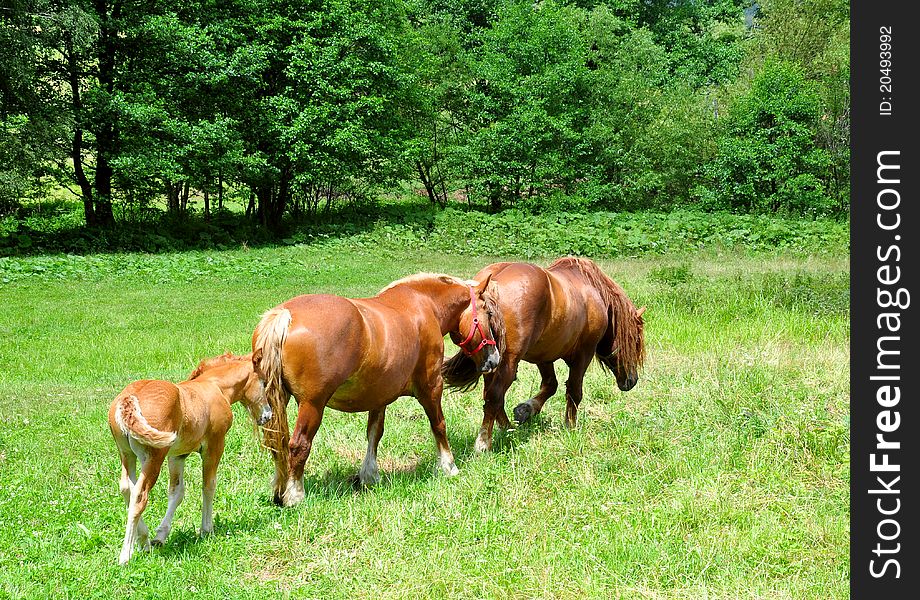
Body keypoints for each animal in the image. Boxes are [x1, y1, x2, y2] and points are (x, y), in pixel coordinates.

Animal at [108, 352, 272, 564]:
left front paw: (160, 536)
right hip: (153, 457)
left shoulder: (178, 456)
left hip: (127, 454)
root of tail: (129, 398)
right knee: (140, 495)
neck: (216, 386)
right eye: (264, 381)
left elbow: (177, 492)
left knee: (127, 488)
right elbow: (209, 486)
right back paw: (126, 554)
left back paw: (143, 539)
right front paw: (206, 530)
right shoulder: (214, 446)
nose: (267, 415)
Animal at [252, 274, 504, 506]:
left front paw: (370, 476)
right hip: (312, 405)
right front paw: (448, 466)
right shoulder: (431, 387)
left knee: (278, 446)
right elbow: (439, 425)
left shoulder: (379, 397)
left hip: (277, 402)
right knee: (298, 445)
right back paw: (295, 496)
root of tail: (286, 315)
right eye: (488, 314)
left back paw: (280, 491)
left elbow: (374, 433)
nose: (494, 359)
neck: (424, 304)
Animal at [442, 256, 644, 450]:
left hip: (490, 363)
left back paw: (508, 430)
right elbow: (574, 391)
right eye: (635, 341)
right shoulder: (583, 355)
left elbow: (550, 385)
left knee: (491, 397)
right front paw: (570, 427)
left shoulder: (544, 355)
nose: (632, 381)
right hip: (507, 363)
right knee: (494, 397)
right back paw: (484, 442)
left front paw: (526, 409)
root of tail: (490, 283)